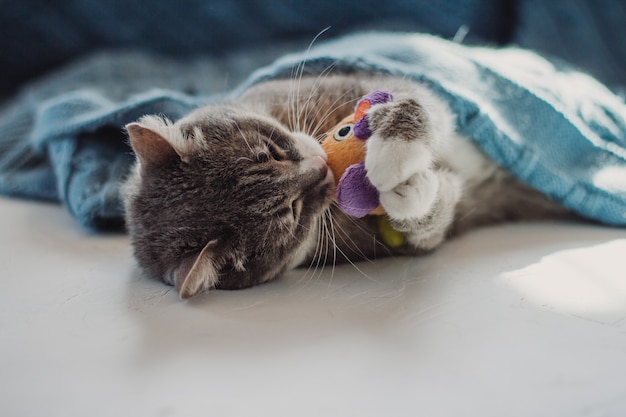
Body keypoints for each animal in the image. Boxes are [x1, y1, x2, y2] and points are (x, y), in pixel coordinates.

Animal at [123, 74, 572, 296]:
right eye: (292, 213)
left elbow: (419, 104)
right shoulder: (393, 239)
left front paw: (392, 147)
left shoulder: (373, 84)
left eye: (271, 152)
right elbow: (432, 217)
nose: (324, 170)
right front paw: (405, 188)